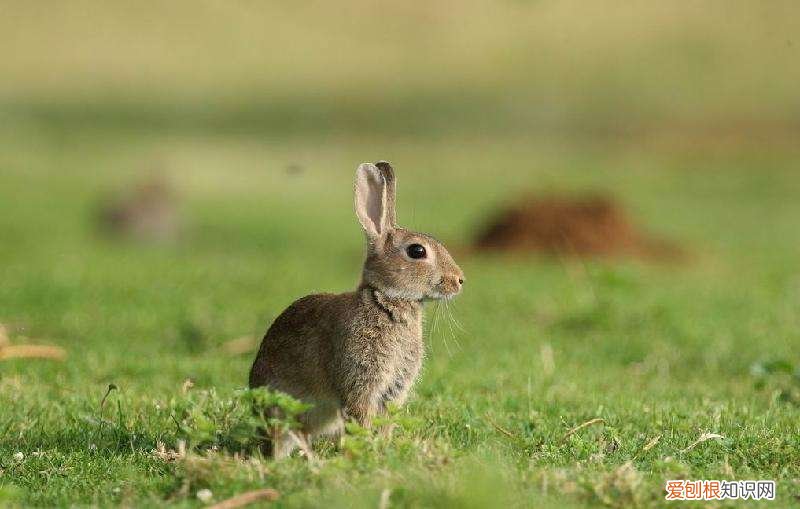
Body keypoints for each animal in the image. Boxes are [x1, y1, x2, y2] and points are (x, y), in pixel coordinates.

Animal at [248, 160, 462, 456]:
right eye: (417, 252)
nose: (460, 280)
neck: (386, 301)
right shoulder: (359, 382)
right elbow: (361, 418)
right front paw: (365, 449)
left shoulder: (392, 391)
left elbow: (385, 423)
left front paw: (381, 448)